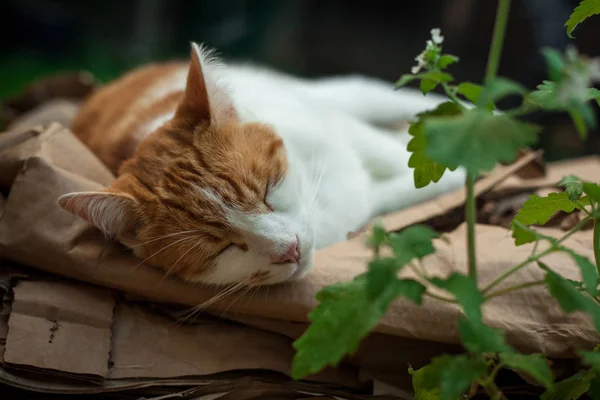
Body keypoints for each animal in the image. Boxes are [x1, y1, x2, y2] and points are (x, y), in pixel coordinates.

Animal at [58, 43, 466, 288]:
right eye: (223, 248)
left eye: (269, 190)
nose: (291, 250)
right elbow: (399, 189)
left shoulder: (336, 130)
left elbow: (404, 160)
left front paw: (463, 161)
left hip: (328, 96)